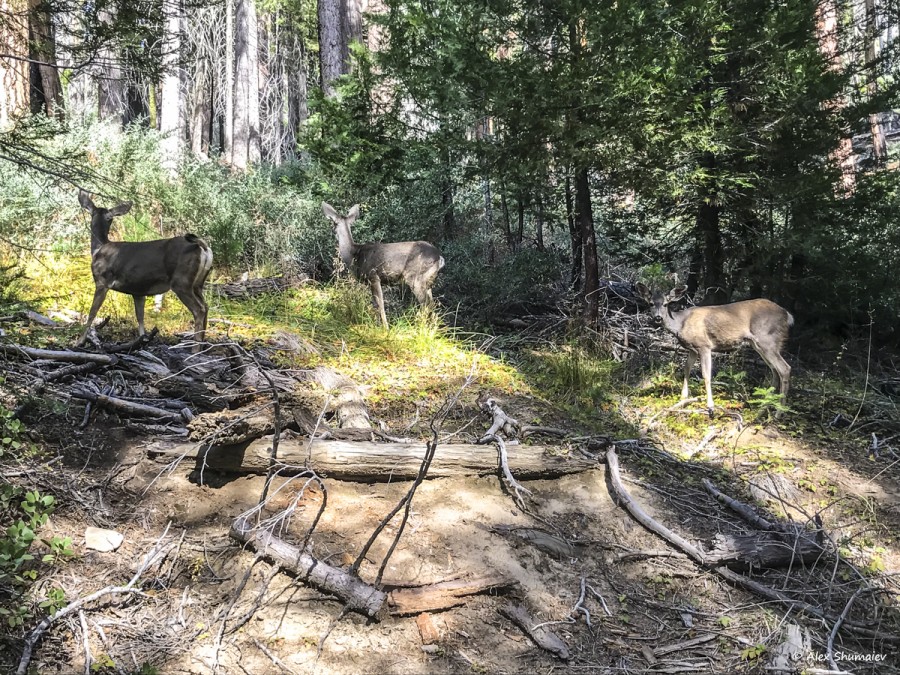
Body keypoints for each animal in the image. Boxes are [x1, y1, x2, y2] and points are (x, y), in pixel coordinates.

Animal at [75, 189, 213, 348]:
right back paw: (202, 345)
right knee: (206, 306)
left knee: (199, 309)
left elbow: (92, 313)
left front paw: (79, 341)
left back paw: (195, 348)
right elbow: (140, 317)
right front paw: (142, 341)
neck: (99, 248)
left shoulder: (102, 281)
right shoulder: (138, 291)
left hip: (181, 281)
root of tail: (202, 247)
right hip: (197, 284)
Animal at [322, 201, 444, 330]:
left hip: (415, 277)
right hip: (428, 281)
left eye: (333, 223)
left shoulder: (373, 275)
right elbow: (375, 304)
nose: (332, 231)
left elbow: (380, 304)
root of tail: (439, 257)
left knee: (426, 304)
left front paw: (385, 328)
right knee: (433, 305)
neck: (354, 255)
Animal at [632, 282, 796, 414]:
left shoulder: (704, 345)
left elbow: (706, 374)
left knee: (784, 368)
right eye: (651, 303)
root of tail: (787, 315)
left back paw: (779, 412)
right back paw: (763, 408)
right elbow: (686, 369)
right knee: (774, 371)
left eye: (666, 304)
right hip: (758, 344)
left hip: (767, 339)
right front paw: (683, 397)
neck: (681, 323)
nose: (658, 317)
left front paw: (710, 406)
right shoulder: (692, 349)